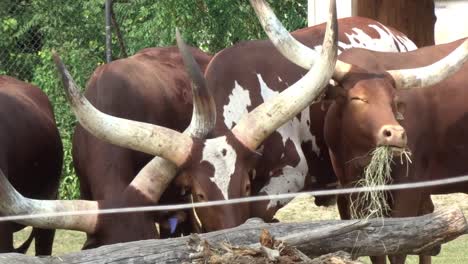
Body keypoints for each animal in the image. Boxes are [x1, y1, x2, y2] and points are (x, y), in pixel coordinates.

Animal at [254, 0, 468, 262]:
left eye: (394, 101)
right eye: (358, 98)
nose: (396, 134)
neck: (358, 154)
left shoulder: (409, 189)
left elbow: (400, 246)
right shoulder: (352, 191)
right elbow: (371, 244)